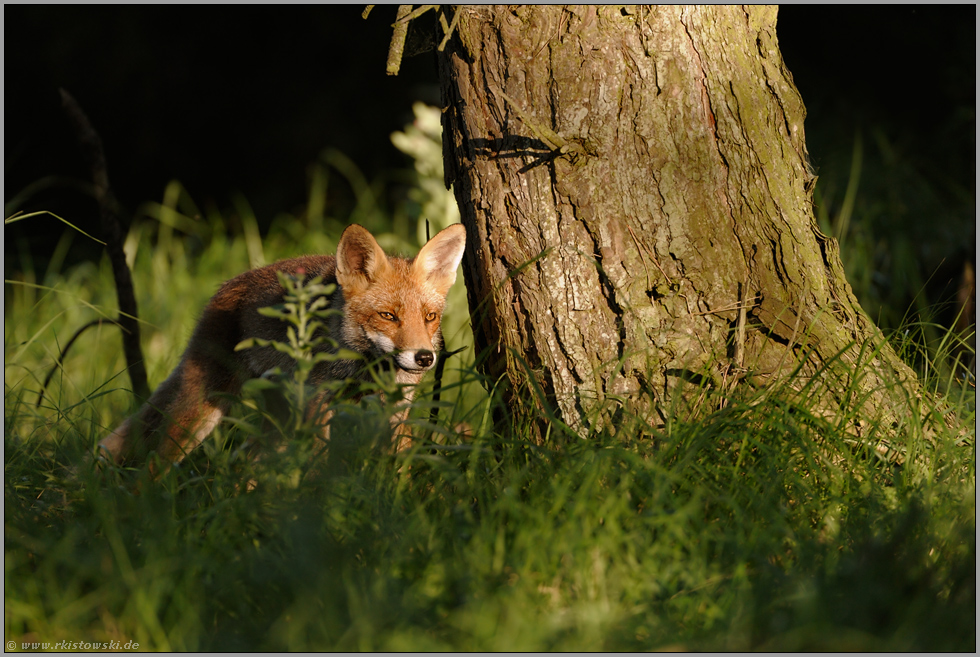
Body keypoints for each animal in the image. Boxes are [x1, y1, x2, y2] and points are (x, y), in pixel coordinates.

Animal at [97, 223, 466, 474]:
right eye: (388, 316)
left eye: (430, 317)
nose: (425, 358)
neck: (365, 369)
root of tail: (226, 286)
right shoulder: (318, 404)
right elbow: (319, 463)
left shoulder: (396, 408)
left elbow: (399, 464)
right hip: (201, 413)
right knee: (155, 462)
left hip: (278, 420)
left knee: (245, 461)